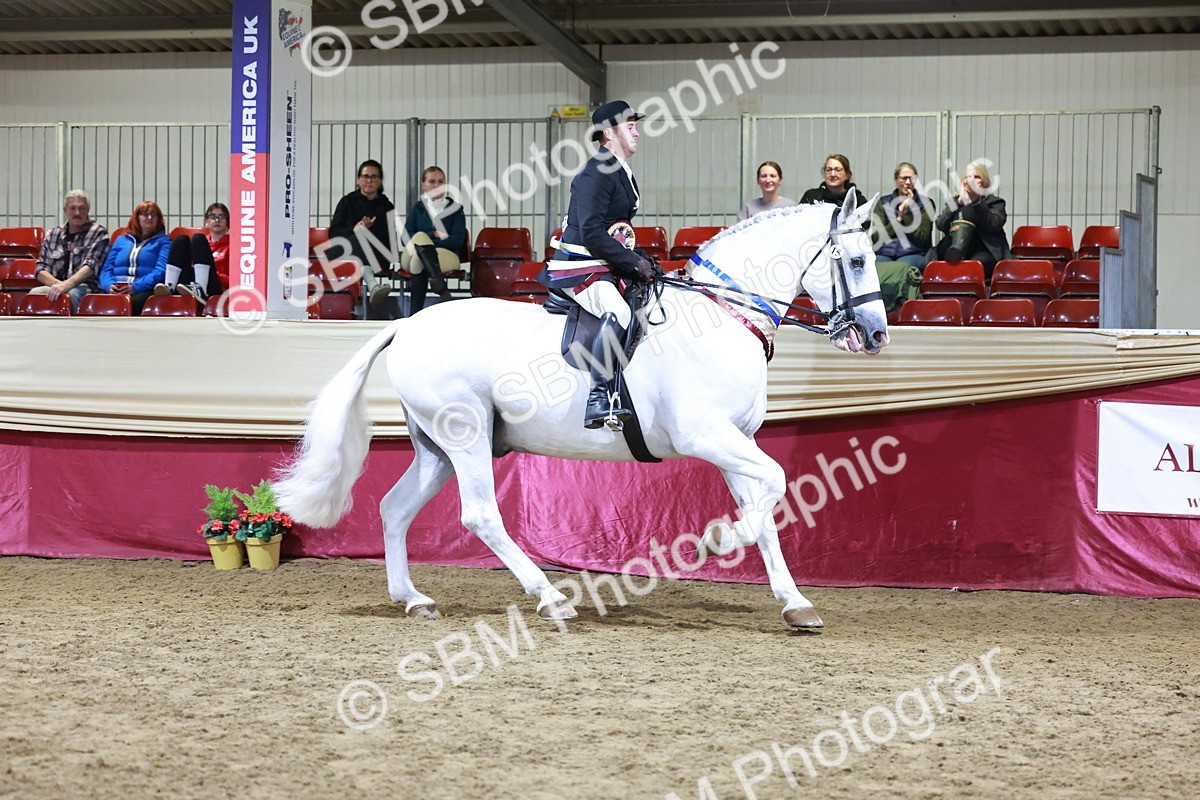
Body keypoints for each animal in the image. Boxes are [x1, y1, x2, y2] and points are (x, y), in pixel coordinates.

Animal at [273, 191, 888, 629]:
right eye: (857, 260)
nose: (877, 335)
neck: (722, 316)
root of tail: (407, 324)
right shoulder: (707, 435)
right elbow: (776, 484)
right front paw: (717, 541)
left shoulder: (735, 441)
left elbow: (766, 509)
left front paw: (794, 602)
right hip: (465, 435)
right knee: (481, 515)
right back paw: (550, 598)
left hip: (437, 447)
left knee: (395, 509)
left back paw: (413, 599)